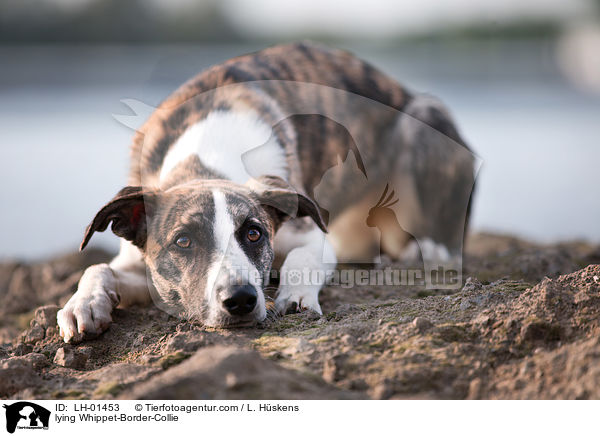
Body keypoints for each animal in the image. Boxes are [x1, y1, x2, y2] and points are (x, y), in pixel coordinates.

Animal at [58, 41, 476, 342]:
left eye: (254, 233)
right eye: (183, 241)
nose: (241, 300)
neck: (205, 160)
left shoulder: (311, 233)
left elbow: (302, 259)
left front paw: (296, 297)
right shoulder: (142, 265)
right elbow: (97, 268)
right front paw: (83, 305)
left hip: (424, 120)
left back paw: (424, 252)